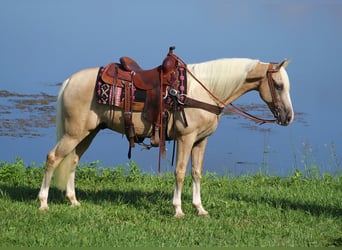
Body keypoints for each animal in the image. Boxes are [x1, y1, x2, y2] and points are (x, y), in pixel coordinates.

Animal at [38, 52, 294, 217]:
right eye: (278, 85)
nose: (289, 117)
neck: (203, 91)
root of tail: (70, 80)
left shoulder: (201, 141)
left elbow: (197, 173)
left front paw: (199, 208)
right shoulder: (185, 139)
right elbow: (180, 172)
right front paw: (178, 209)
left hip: (87, 133)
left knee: (72, 160)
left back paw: (73, 200)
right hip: (75, 133)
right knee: (52, 158)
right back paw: (43, 203)